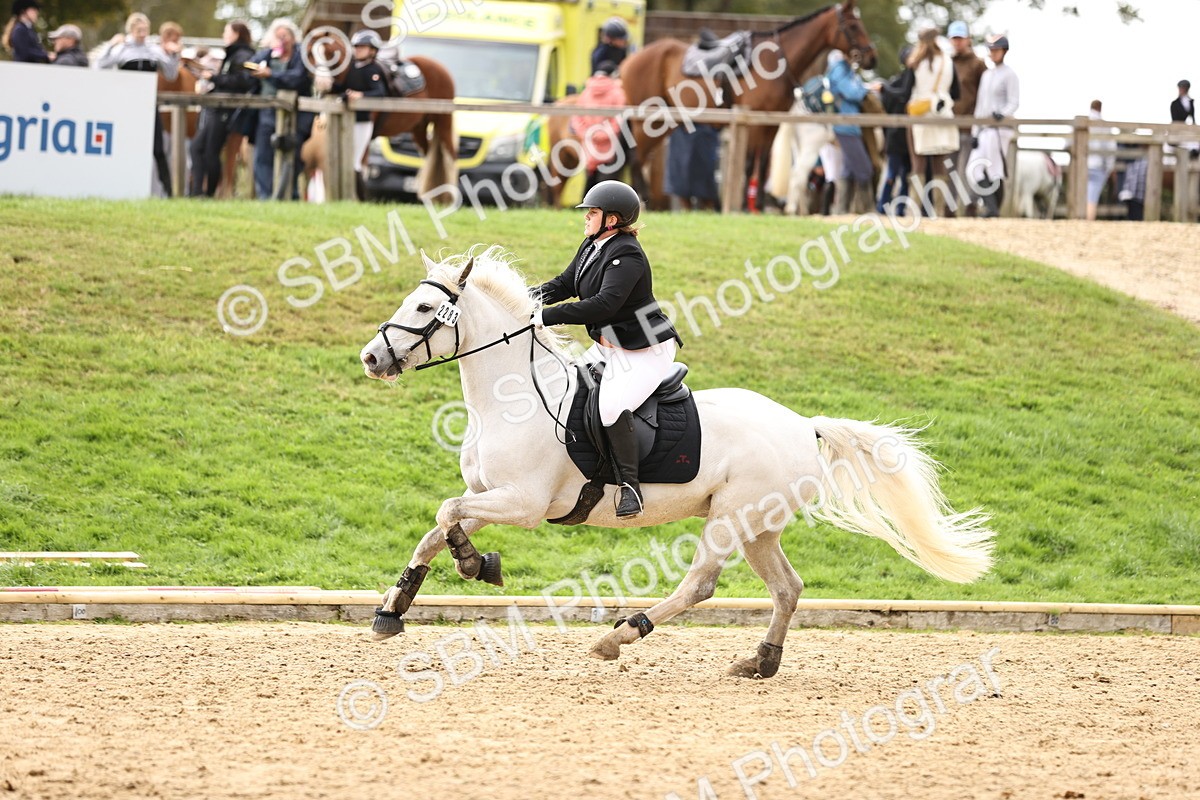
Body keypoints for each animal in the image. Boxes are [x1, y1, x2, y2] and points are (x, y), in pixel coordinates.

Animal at [358, 247, 996, 678]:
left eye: (423, 306)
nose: (370, 358)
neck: (510, 396)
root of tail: (802, 425)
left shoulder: (523, 503)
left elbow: (446, 515)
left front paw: (474, 564)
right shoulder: (491, 495)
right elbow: (438, 526)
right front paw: (397, 608)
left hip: (730, 519)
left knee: (701, 583)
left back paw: (620, 636)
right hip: (758, 526)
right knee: (787, 587)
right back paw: (761, 661)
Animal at [619, 0, 875, 209]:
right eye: (853, 26)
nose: (872, 58)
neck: (774, 60)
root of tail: (631, 60)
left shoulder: (771, 125)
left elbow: (762, 165)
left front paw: (758, 206)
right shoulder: (752, 125)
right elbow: (749, 164)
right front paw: (742, 205)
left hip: (664, 122)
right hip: (648, 121)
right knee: (636, 157)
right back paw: (643, 201)